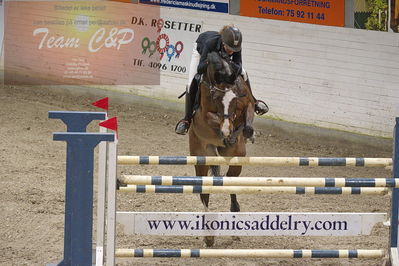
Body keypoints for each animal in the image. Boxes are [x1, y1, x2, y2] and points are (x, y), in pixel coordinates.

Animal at [188, 51, 256, 246]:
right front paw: (226, 130)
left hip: (236, 158)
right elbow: (212, 117)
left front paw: (243, 132)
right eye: (216, 99)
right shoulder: (204, 115)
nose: (226, 131)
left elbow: (248, 117)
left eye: (235, 99)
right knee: (205, 193)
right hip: (201, 158)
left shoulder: (247, 103)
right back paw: (209, 235)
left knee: (230, 180)